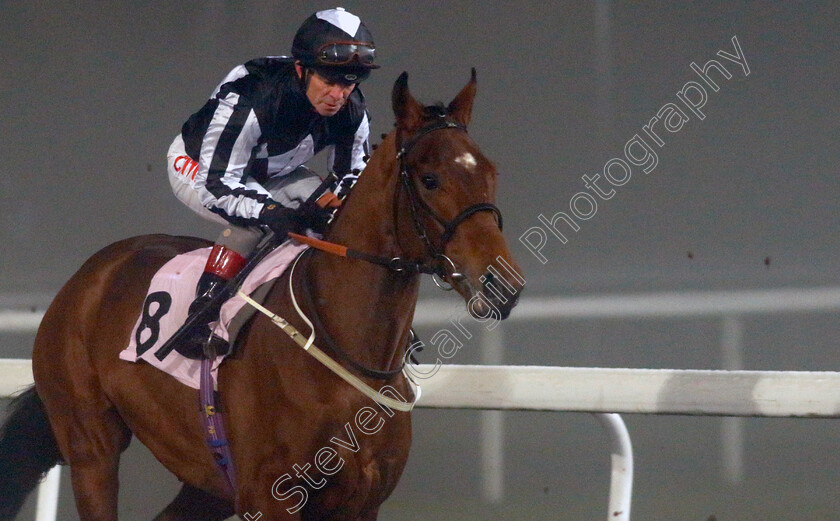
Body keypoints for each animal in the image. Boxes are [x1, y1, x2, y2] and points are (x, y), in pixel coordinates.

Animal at [0, 70, 520, 520]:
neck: (340, 347)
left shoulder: (361, 502)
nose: (503, 285)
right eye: (430, 179)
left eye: (492, 173)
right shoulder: (271, 497)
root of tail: (88, 276)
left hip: (206, 481)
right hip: (91, 445)